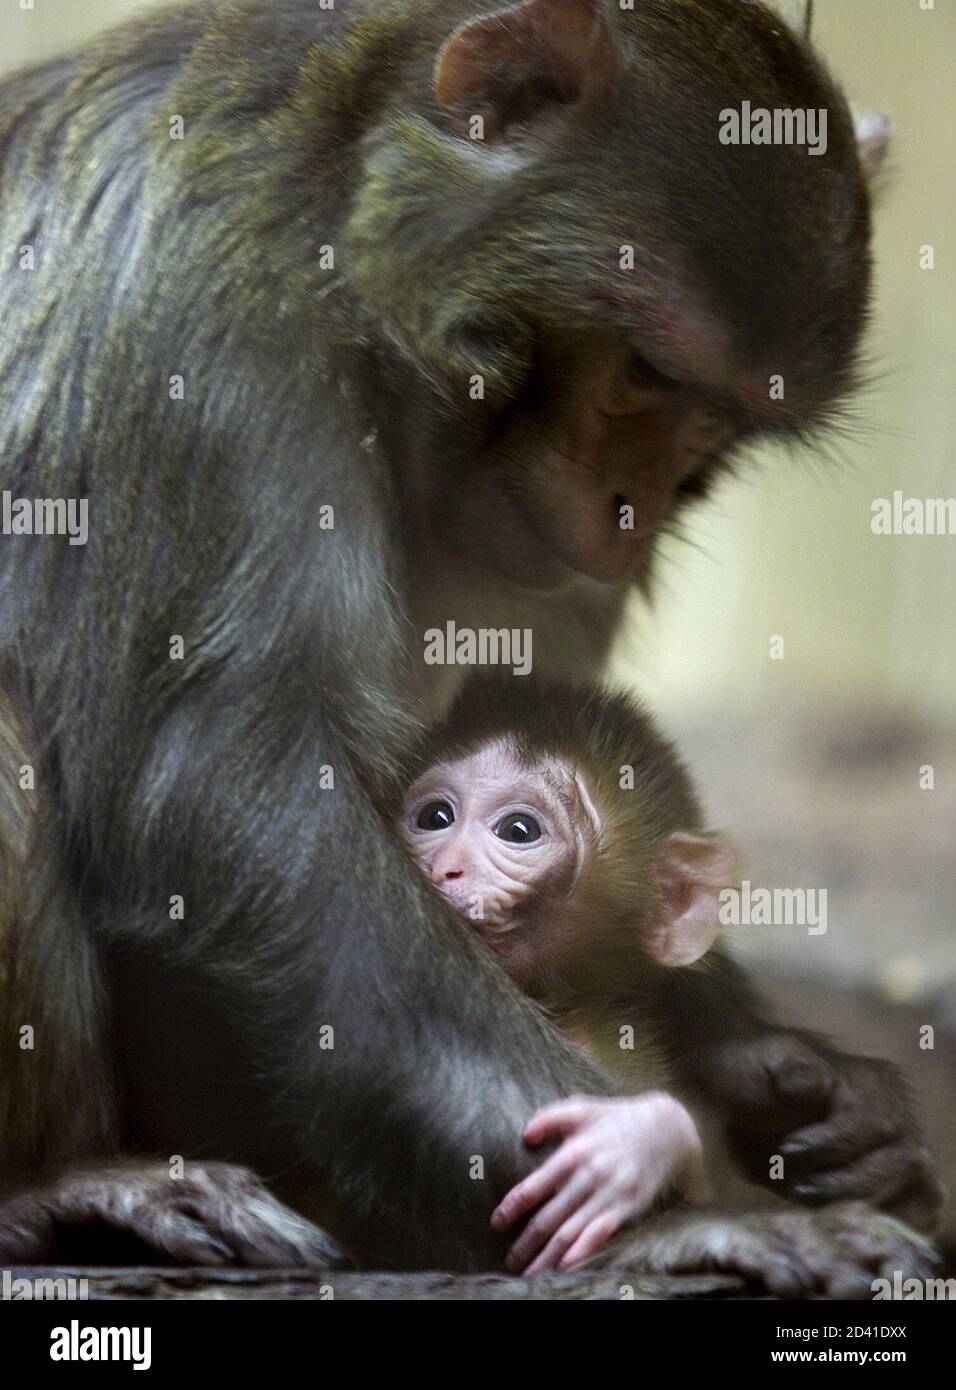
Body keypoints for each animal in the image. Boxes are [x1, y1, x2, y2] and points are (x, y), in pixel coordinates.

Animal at [0, 0, 941, 1290]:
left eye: (724, 418)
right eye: (645, 371)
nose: (633, 509)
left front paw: (776, 1068)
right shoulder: (202, 307)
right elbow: (224, 795)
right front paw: (661, 1208)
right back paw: (64, 1186)